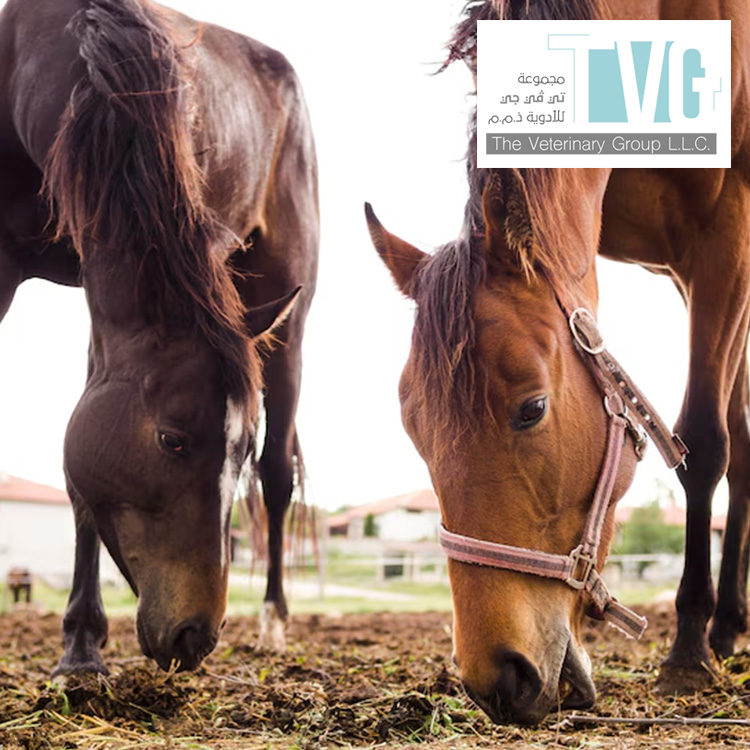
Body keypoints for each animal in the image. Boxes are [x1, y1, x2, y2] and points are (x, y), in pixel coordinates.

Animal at [0, 0, 318, 674]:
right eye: (172, 440)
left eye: (237, 451)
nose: (196, 637)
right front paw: (81, 644)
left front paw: (82, 646)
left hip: (287, 318)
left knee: (279, 478)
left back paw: (273, 621)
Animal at [367, 0, 750, 725]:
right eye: (412, 431)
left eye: (533, 409)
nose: (497, 680)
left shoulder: (727, 236)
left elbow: (703, 446)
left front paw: (687, 652)